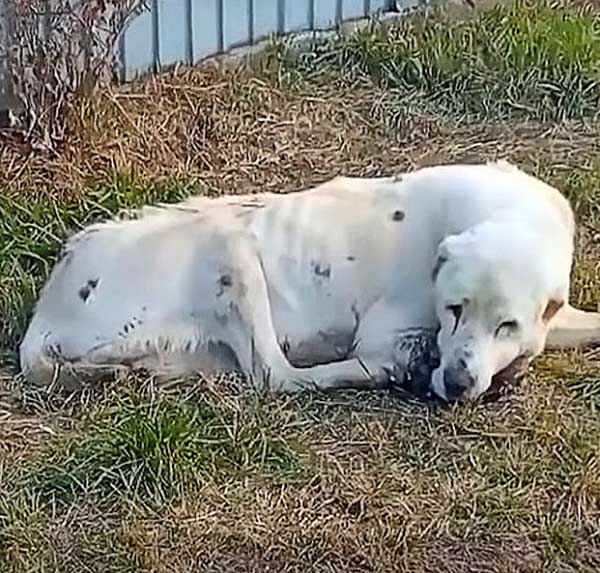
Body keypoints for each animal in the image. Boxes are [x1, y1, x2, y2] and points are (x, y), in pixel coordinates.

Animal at [18, 161, 600, 400]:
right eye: (453, 309)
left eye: (507, 325)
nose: (456, 384)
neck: (512, 213)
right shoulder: (384, 337)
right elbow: (382, 352)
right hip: (229, 244)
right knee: (277, 375)